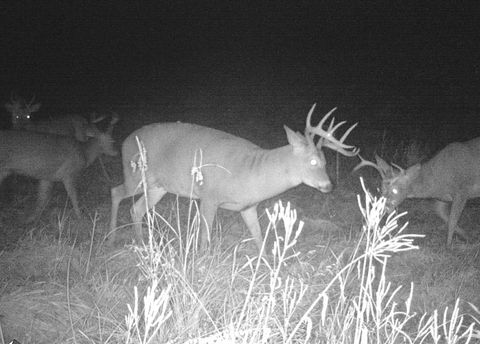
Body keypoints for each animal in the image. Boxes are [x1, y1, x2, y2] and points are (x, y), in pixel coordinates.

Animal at [108, 103, 356, 250]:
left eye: (325, 161)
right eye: (313, 161)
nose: (329, 186)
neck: (252, 173)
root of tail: (125, 141)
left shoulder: (248, 207)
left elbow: (259, 238)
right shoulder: (208, 197)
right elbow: (204, 238)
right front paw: (202, 263)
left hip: (158, 186)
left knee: (136, 208)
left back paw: (142, 244)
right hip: (135, 175)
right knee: (116, 192)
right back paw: (111, 236)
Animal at [352, 136, 480, 245]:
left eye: (395, 190)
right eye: (381, 189)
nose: (381, 208)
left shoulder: (462, 190)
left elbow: (453, 219)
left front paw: (448, 245)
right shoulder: (443, 197)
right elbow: (442, 214)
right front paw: (468, 236)